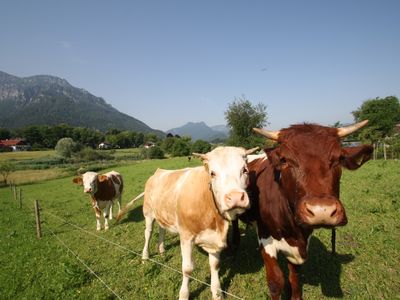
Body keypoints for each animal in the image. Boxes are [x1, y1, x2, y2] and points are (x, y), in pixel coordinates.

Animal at [117, 146, 258, 298]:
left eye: (245, 170)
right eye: (212, 173)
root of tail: (158, 172)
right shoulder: (186, 236)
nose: (236, 197)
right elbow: (187, 269)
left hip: (163, 213)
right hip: (148, 213)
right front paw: (184, 294)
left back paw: (161, 250)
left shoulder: (213, 240)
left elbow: (215, 265)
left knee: (162, 229)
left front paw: (217, 293)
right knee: (148, 233)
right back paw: (145, 257)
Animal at [233, 120, 374, 298]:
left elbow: (294, 277)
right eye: (285, 160)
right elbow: (275, 282)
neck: (294, 231)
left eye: (339, 159)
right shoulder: (265, 238)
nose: (322, 211)